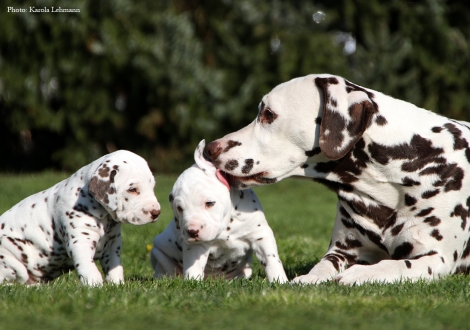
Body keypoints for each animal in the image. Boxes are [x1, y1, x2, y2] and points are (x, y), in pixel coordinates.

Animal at [0, 150, 161, 284]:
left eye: (152, 186)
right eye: (132, 189)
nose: (156, 212)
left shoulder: (113, 244)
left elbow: (115, 268)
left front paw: (117, 285)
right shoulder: (81, 241)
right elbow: (89, 269)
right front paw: (95, 287)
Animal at [152, 141, 288, 282]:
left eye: (209, 203)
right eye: (179, 208)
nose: (192, 231)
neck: (228, 224)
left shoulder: (260, 234)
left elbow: (271, 259)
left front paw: (279, 281)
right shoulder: (196, 246)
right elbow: (193, 267)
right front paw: (192, 283)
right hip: (159, 255)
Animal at [205, 73, 470, 284]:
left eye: (268, 114)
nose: (210, 149)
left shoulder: (438, 258)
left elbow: (395, 265)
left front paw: (362, 274)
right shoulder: (341, 251)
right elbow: (322, 266)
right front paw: (309, 278)